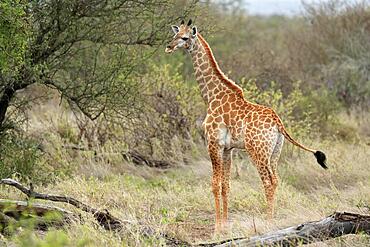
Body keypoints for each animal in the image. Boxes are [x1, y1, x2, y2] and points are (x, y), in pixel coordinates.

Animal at [165, 19, 326, 232]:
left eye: (184, 38)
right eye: (174, 34)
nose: (168, 47)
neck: (211, 96)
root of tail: (278, 124)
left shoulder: (213, 144)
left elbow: (214, 185)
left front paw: (216, 230)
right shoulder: (228, 149)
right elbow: (226, 185)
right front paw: (225, 227)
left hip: (257, 151)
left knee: (268, 182)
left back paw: (268, 224)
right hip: (275, 152)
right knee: (276, 180)